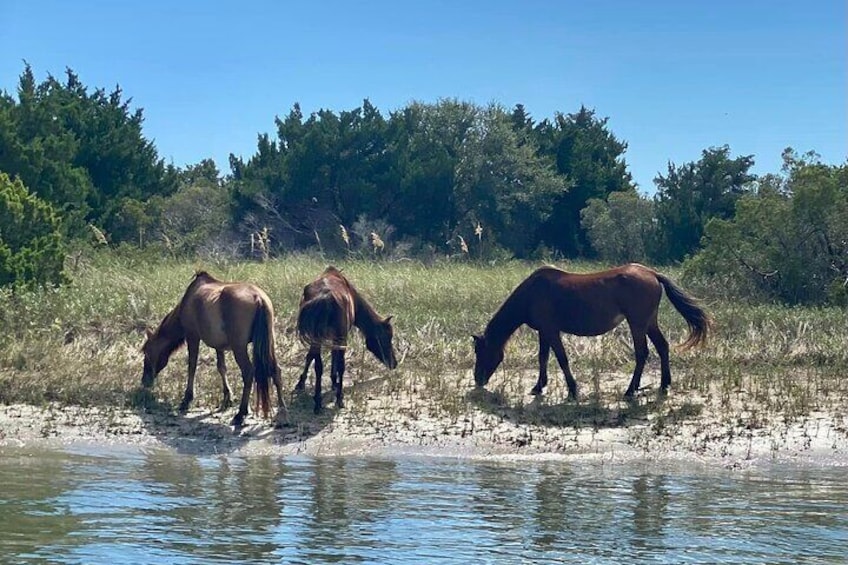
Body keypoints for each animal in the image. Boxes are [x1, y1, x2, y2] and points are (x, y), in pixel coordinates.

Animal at [142, 270, 288, 426]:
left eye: (146, 352)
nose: (145, 381)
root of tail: (258, 298)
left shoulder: (192, 336)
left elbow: (192, 366)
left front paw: (187, 398)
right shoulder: (219, 346)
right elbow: (221, 367)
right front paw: (228, 397)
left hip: (239, 346)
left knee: (248, 372)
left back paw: (241, 413)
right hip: (268, 343)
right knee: (276, 370)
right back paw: (282, 410)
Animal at [296, 266, 400, 412]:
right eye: (386, 337)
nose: (394, 363)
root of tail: (325, 298)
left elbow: (311, 356)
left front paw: (301, 382)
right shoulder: (339, 337)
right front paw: (334, 383)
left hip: (319, 337)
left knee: (318, 365)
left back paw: (317, 401)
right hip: (339, 337)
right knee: (340, 365)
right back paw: (339, 399)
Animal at [474, 264, 712, 398]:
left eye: (480, 352)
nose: (478, 380)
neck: (532, 293)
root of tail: (652, 273)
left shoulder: (551, 330)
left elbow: (561, 359)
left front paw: (572, 390)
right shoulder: (544, 332)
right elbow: (543, 358)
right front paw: (539, 386)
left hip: (637, 324)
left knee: (642, 354)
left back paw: (630, 390)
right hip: (649, 323)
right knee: (662, 347)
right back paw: (664, 385)